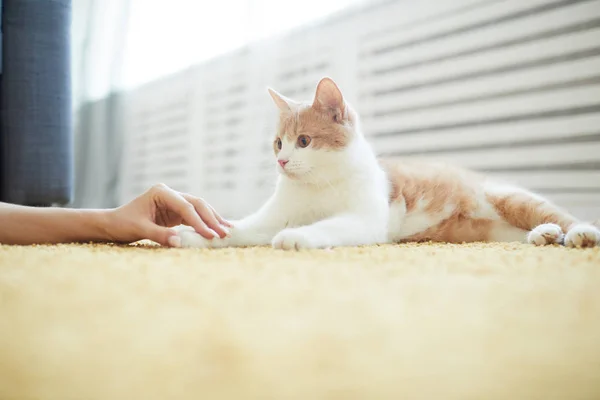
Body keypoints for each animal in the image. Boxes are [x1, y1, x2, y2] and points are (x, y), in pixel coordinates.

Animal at [176, 76, 600, 248]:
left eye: (304, 141)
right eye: (278, 143)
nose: (282, 161)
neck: (317, 186)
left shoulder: (363, 219)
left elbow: (328, 225)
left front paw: (299, 236)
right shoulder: (269, 218)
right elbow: (236, 229)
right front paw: (193, 235)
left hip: (508, 197)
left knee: (562, 216)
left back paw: (577, 234)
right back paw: (544, 236)